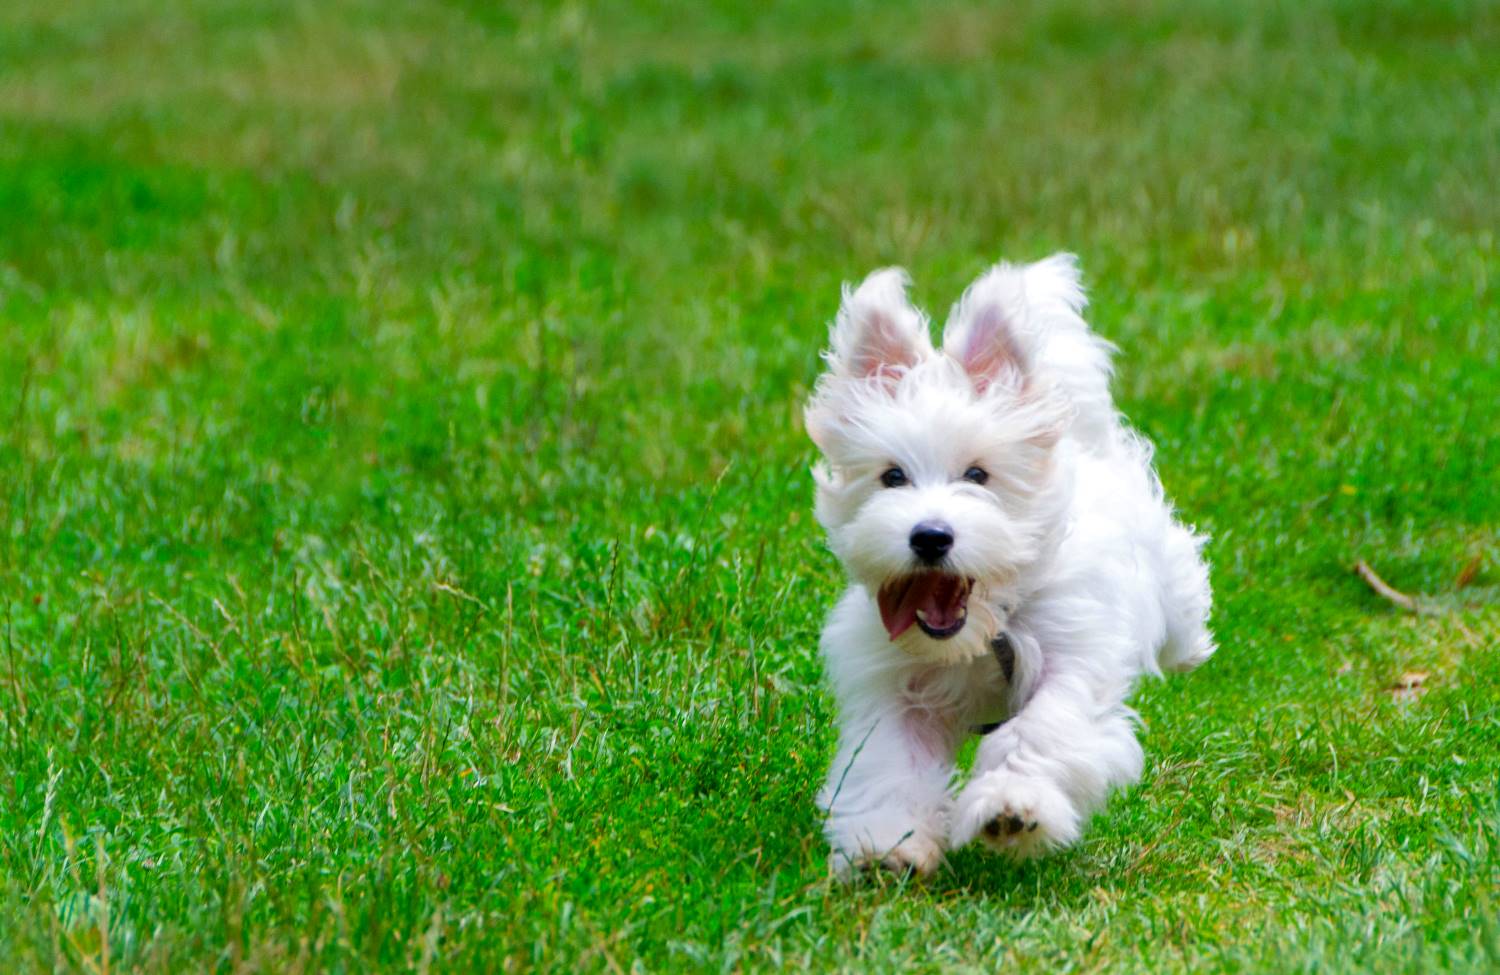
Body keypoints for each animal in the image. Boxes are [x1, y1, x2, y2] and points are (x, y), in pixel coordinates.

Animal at [804, 250, 1212, 876]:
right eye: (892, 476)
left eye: (978, 475)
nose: (930, 537)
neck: (986, 625)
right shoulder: (893, 686)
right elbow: (891, 762)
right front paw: (890, 842)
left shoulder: (1073, 656)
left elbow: (1038, 731)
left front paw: (1011, 808)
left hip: (1164, 567)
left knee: (1184, 589)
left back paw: (1190, 646)